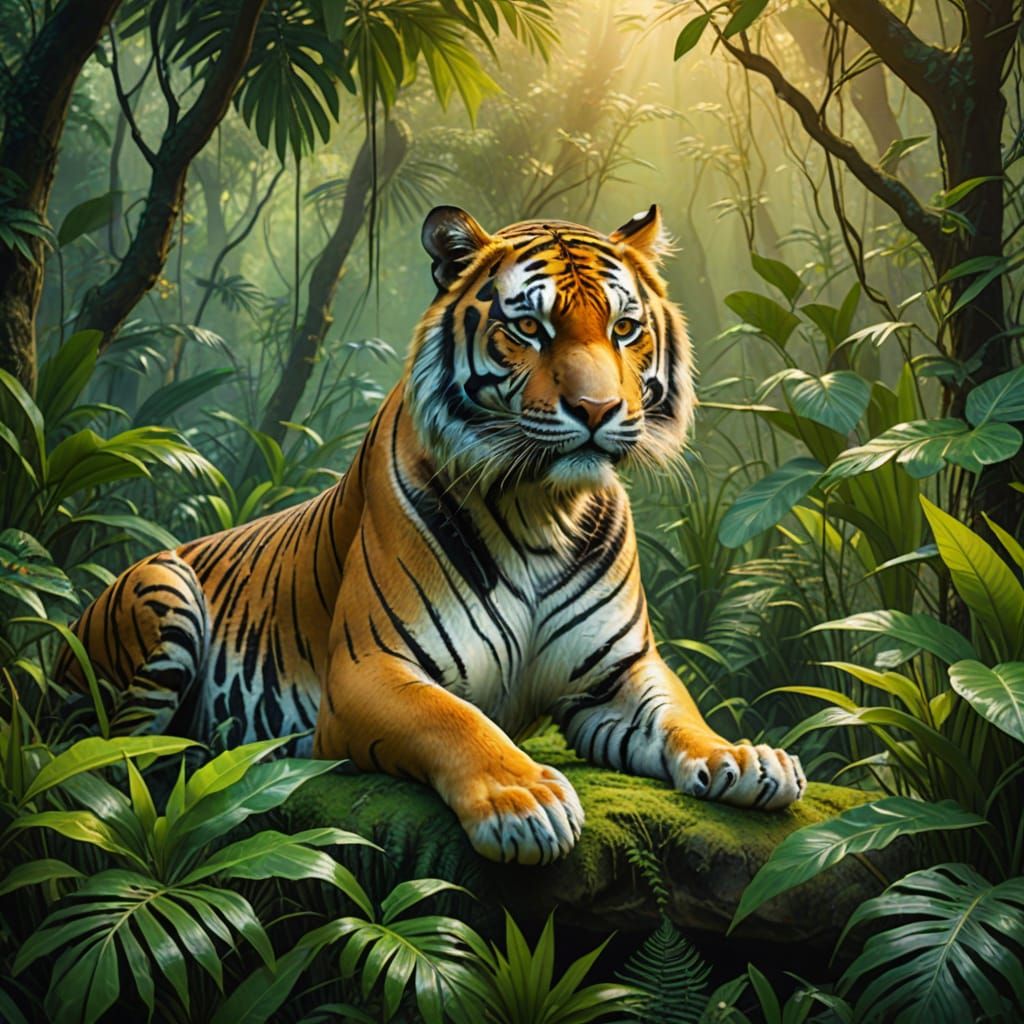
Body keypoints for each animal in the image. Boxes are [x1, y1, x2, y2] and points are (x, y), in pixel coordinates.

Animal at [60, 204, 806, 865]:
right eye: (529, 326)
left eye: (624, 328)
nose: (597, 410)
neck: (544, 507)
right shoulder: (368, 668)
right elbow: (453, 719)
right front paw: (523, 799)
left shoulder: (617, 673)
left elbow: (679, 713)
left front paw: (743, 758)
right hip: (160, 592)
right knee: (109, 759)